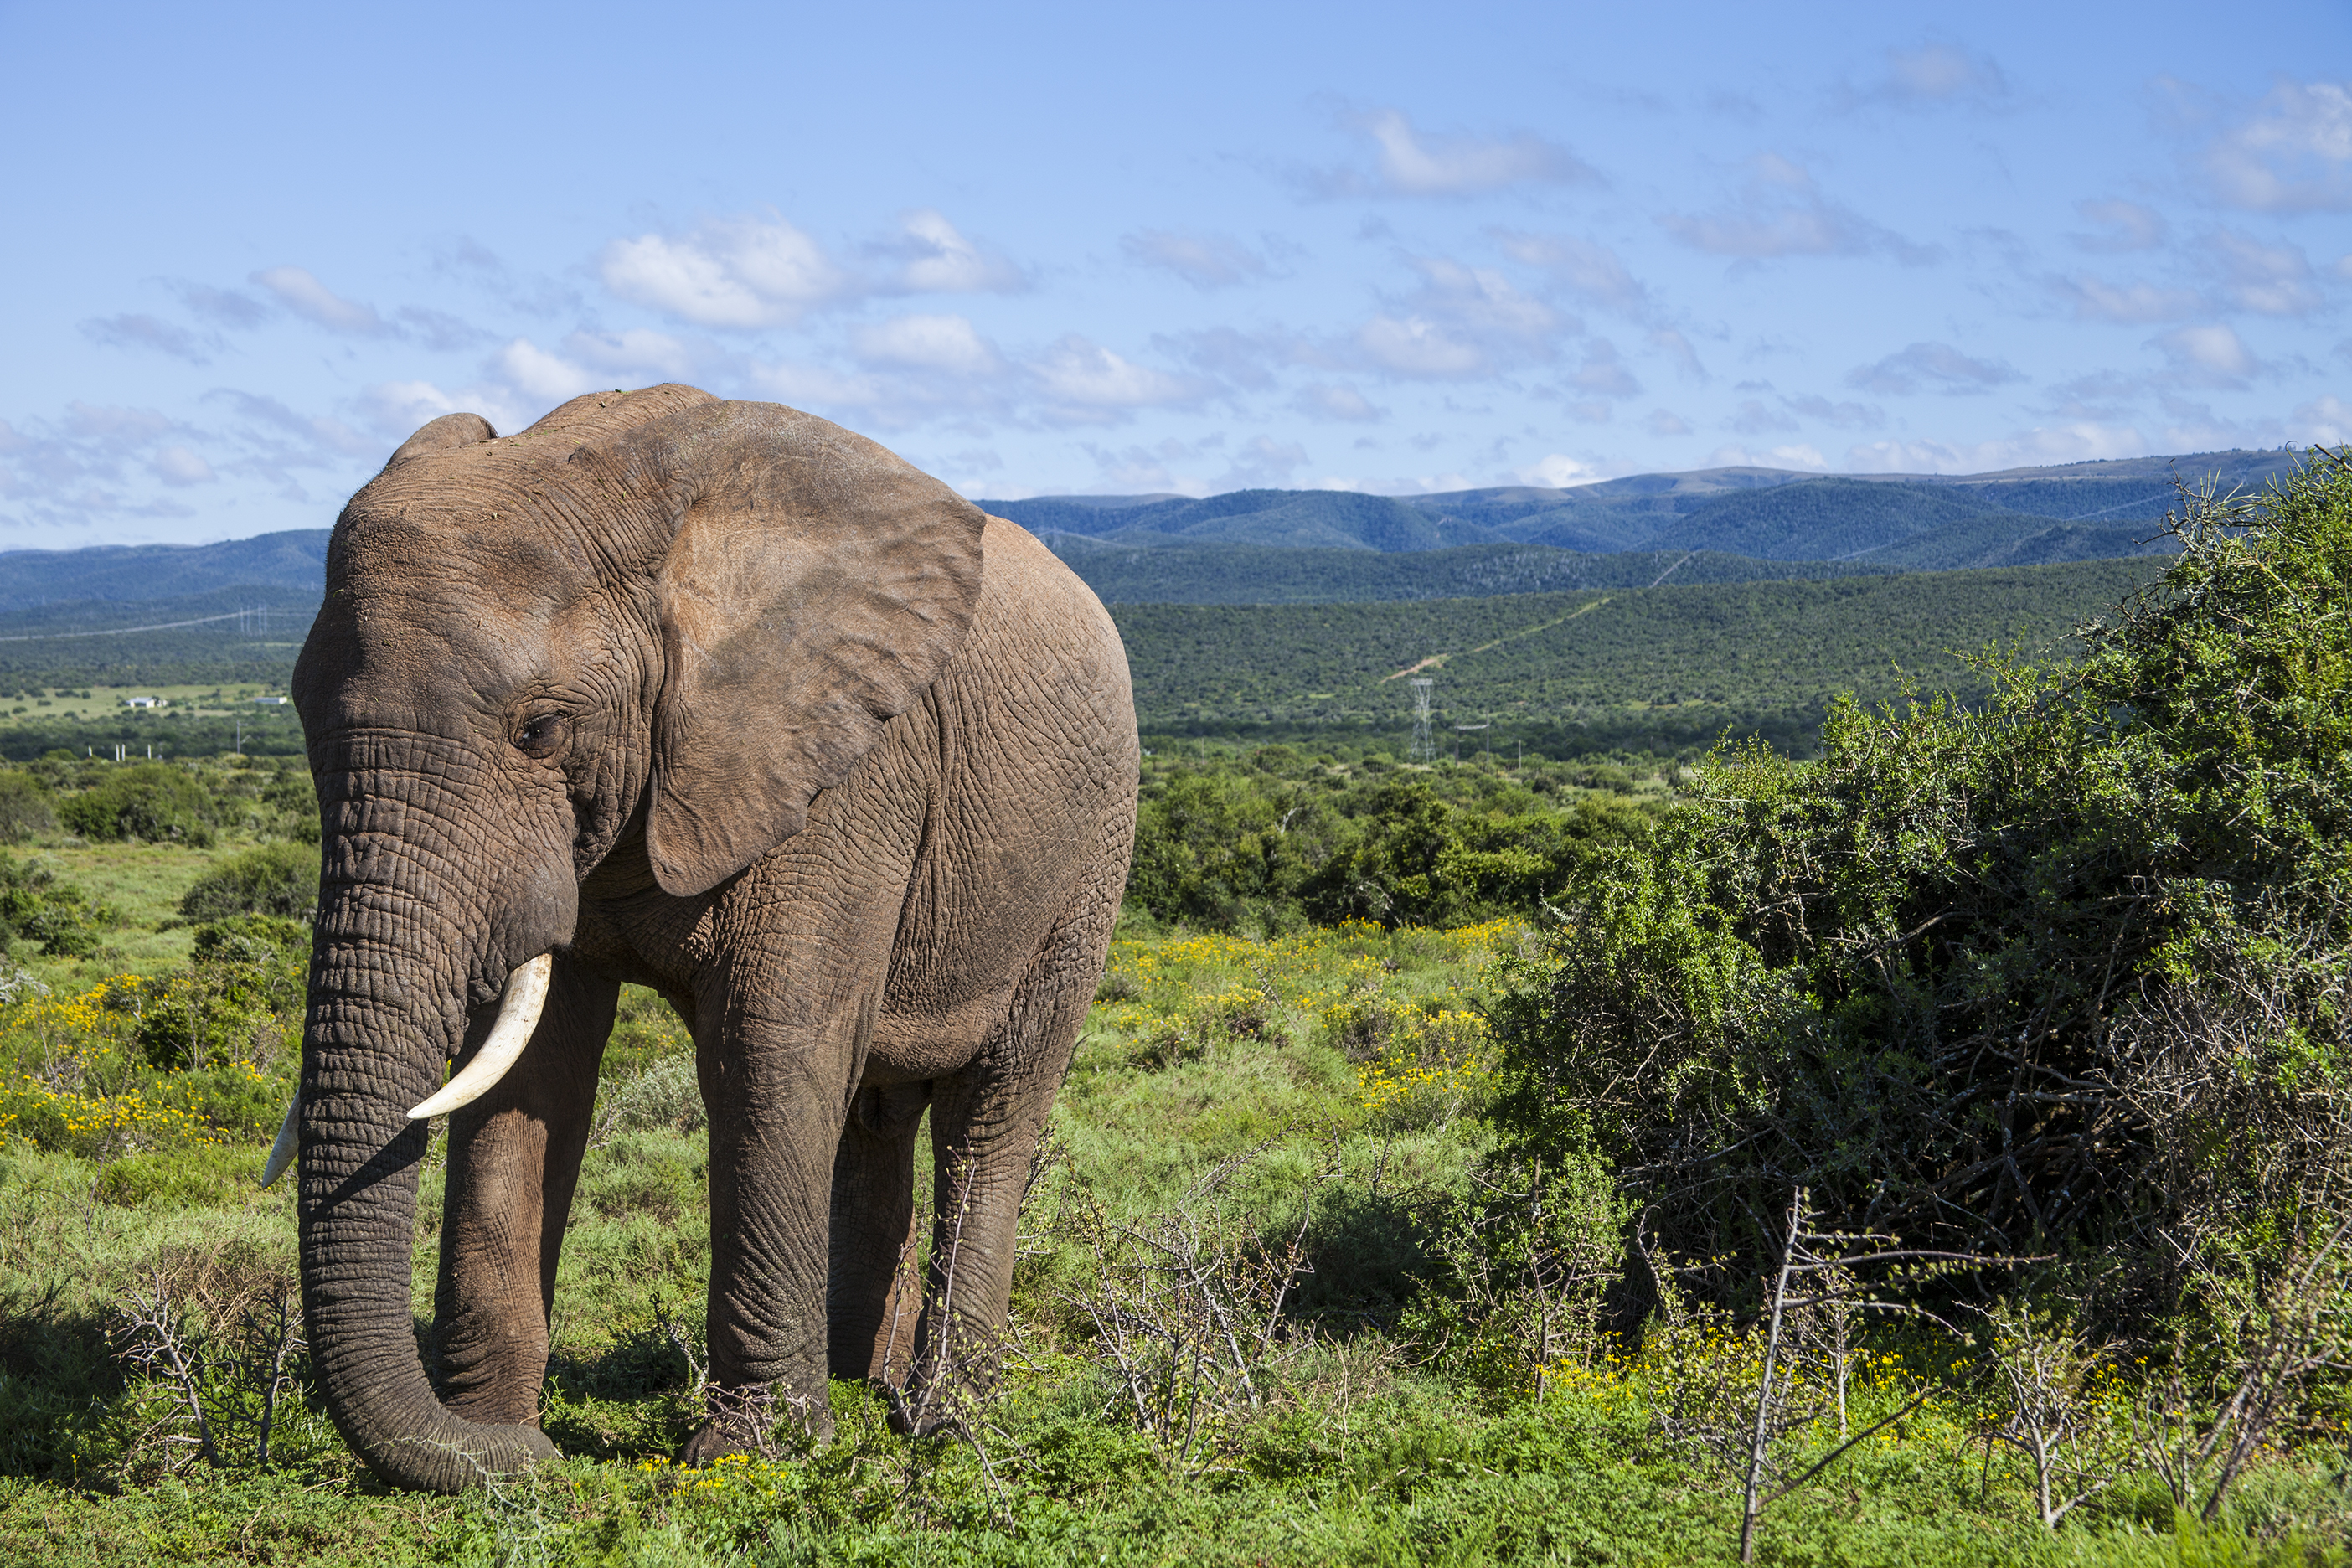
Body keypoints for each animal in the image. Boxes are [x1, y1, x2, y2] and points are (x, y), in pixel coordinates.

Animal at [269, 383, 1138, 1492]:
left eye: (541, 731)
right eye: (297, 716)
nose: (544, 1461)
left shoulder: (844, 773)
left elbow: (765, 1053)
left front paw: (754, 1460)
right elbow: (530, 1076)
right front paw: (500, 1439)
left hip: (1086, 862)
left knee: (992, 1110)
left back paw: (944, 1421)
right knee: (874, 1114)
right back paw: (860, 1380)